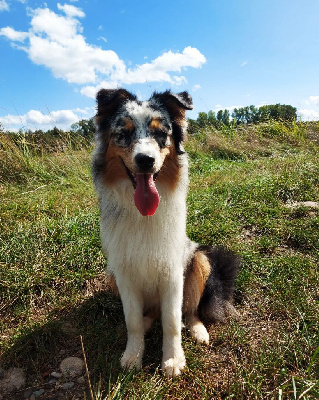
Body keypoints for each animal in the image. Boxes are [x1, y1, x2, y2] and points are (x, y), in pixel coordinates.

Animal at [91, 88, 239, 378]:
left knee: (189, 312)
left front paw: (173, 360)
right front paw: (133, 355)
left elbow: (172, 321)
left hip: (199, 259)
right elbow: (132, 321)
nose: (145, 160)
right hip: (111, 274)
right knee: (149, 315)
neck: (142, 214)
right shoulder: (123, 272)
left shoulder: (172, 271)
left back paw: (198, 330)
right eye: (123, 133)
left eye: (161, 133)